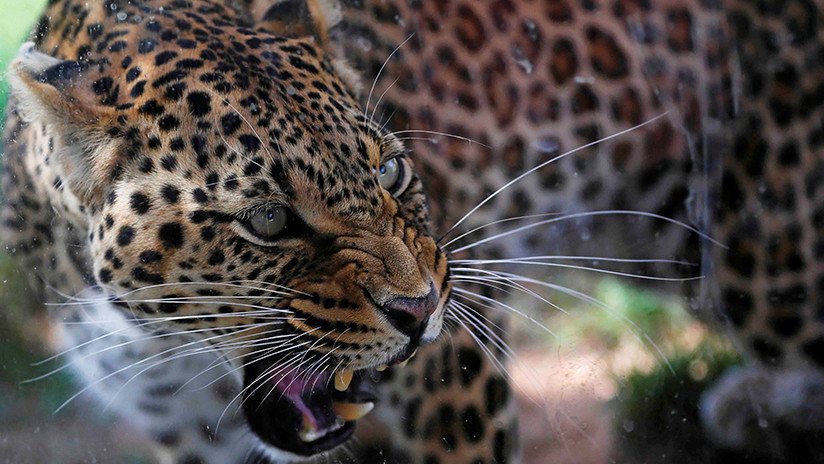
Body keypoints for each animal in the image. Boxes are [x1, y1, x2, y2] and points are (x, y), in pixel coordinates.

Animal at [2, 0, 824, 464]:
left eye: (392, 172)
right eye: (268, 219)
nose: (421, 308)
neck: (163, 349)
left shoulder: (456, 383)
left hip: (764, 265)